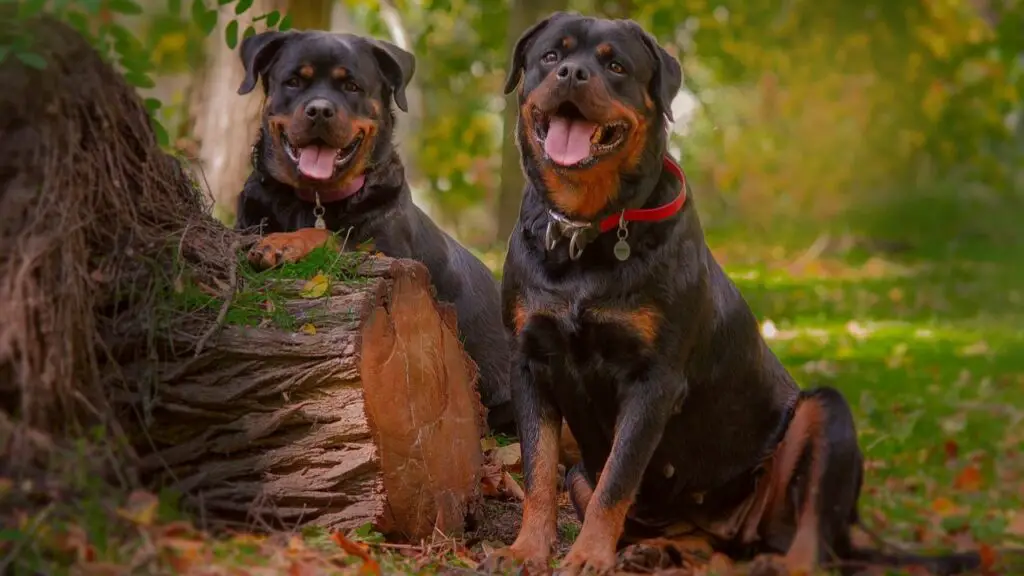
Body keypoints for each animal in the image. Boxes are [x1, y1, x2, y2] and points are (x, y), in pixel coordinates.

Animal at [235, 28, 516, 430]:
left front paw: (283, 244)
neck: (313, 199)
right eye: (294, 81)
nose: (319, 110)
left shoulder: (391, 255)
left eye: (351, 86)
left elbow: (328, 234)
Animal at [483, 11, 978, 569]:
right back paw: (653, 552)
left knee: (813, 533)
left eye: (615, 66)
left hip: (823, 414)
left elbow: (618, 478)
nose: (571, 73)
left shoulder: (653, 379)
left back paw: (780, 564)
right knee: (695, 539)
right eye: (551, 55)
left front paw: (587, 557)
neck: (587, 234)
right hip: (591, 476)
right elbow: (539, 470)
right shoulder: (530, 362)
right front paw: (525, 550)